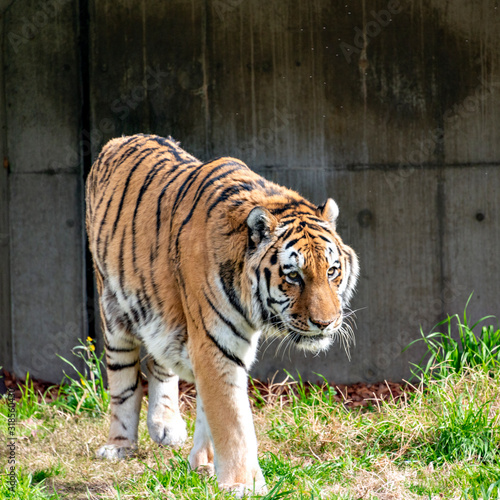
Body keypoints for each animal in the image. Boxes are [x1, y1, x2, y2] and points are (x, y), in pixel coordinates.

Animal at [86, 134, 360, 496]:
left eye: (332, 271)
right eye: (293, 276)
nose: (325, 323)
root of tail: (119, 140)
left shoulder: (211, 342)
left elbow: (210, 409)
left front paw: (204, 463)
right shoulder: (214, 342)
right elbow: (232, 420)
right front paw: (243, 484)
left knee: (158, 362)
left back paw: (166, 426)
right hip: (112, 308)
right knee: (124, 379)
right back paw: (119, 445)